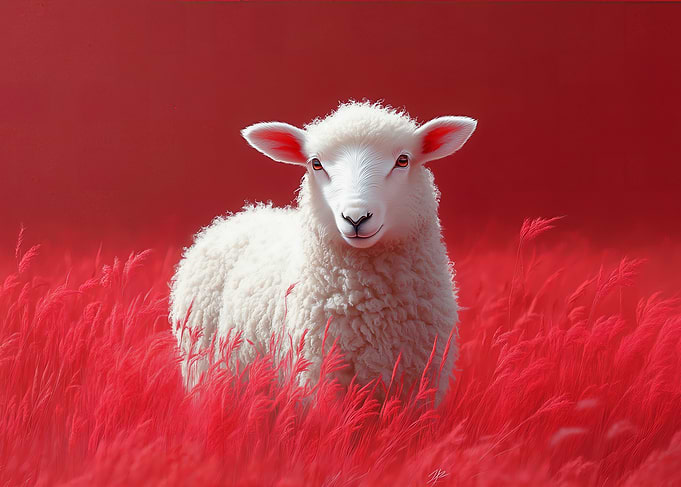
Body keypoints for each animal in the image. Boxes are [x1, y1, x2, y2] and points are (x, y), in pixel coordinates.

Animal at [169, 101, 477, 400]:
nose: (356, 217)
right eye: (316, 164)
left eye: (403, 160)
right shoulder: (319, 380)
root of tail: (243, 214)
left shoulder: (421, 384)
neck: (373, 312)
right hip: (202, 371)